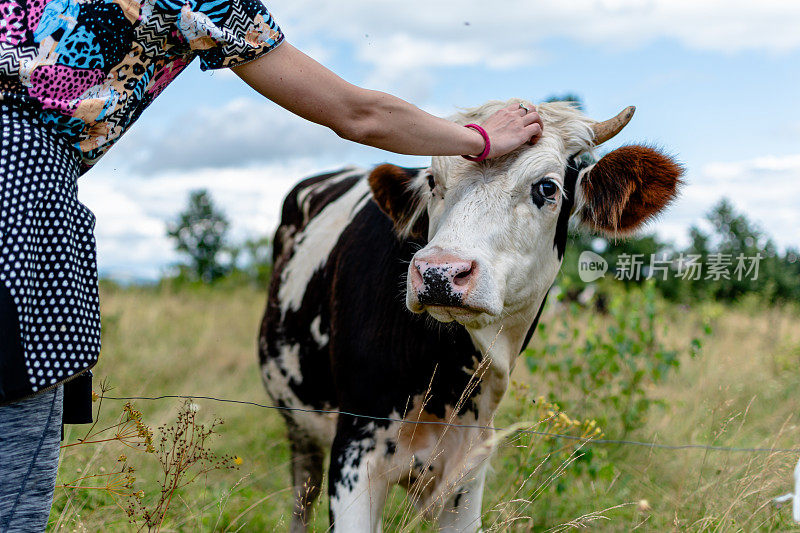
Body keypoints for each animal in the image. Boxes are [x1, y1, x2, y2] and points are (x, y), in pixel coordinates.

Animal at [260, 101, 684, 532]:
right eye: (433, 181)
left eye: (547, 188)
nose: (439, 273)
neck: (442, 371)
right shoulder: (355, 447)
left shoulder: (469, 466)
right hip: (301, 432)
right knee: (302, 500)